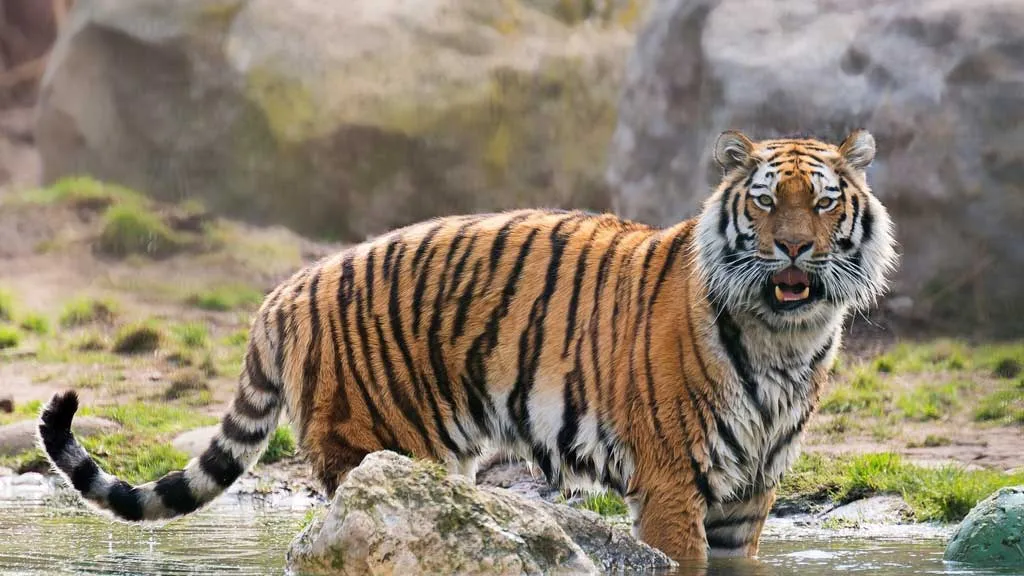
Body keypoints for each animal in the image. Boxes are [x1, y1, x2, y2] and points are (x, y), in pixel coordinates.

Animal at [38, 129, 897, 561]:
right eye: (766, 203)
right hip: (384, 448)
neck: (783, 338)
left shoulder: (749, 492)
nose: (793, 248)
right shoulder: (671, 484)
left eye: (823, 203)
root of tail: (288, 288)